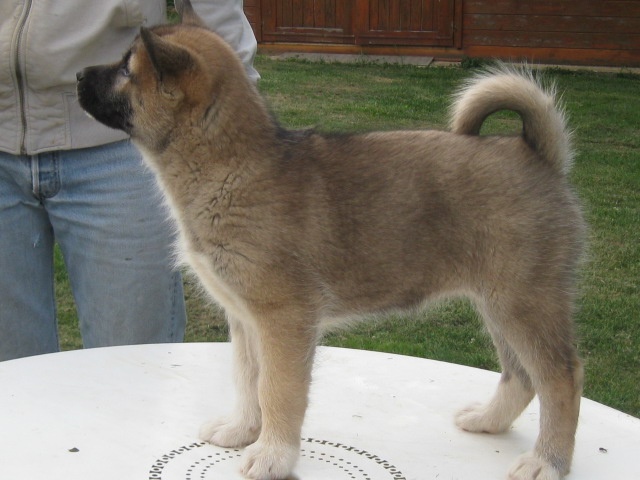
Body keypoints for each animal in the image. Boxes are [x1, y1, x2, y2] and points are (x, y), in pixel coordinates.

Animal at [77, 1, 585, 479]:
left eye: (126, 70)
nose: (78, 74)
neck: (230, 166)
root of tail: (535, 153)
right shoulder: (245, 318)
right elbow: (246, 379)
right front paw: (242, 430)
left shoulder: (284, 318)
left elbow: (276, 391)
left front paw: (273, 456)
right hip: (498, 304)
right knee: (522, 376)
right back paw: (488, 421)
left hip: (522, 302)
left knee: (561, 377)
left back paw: (548, 461)